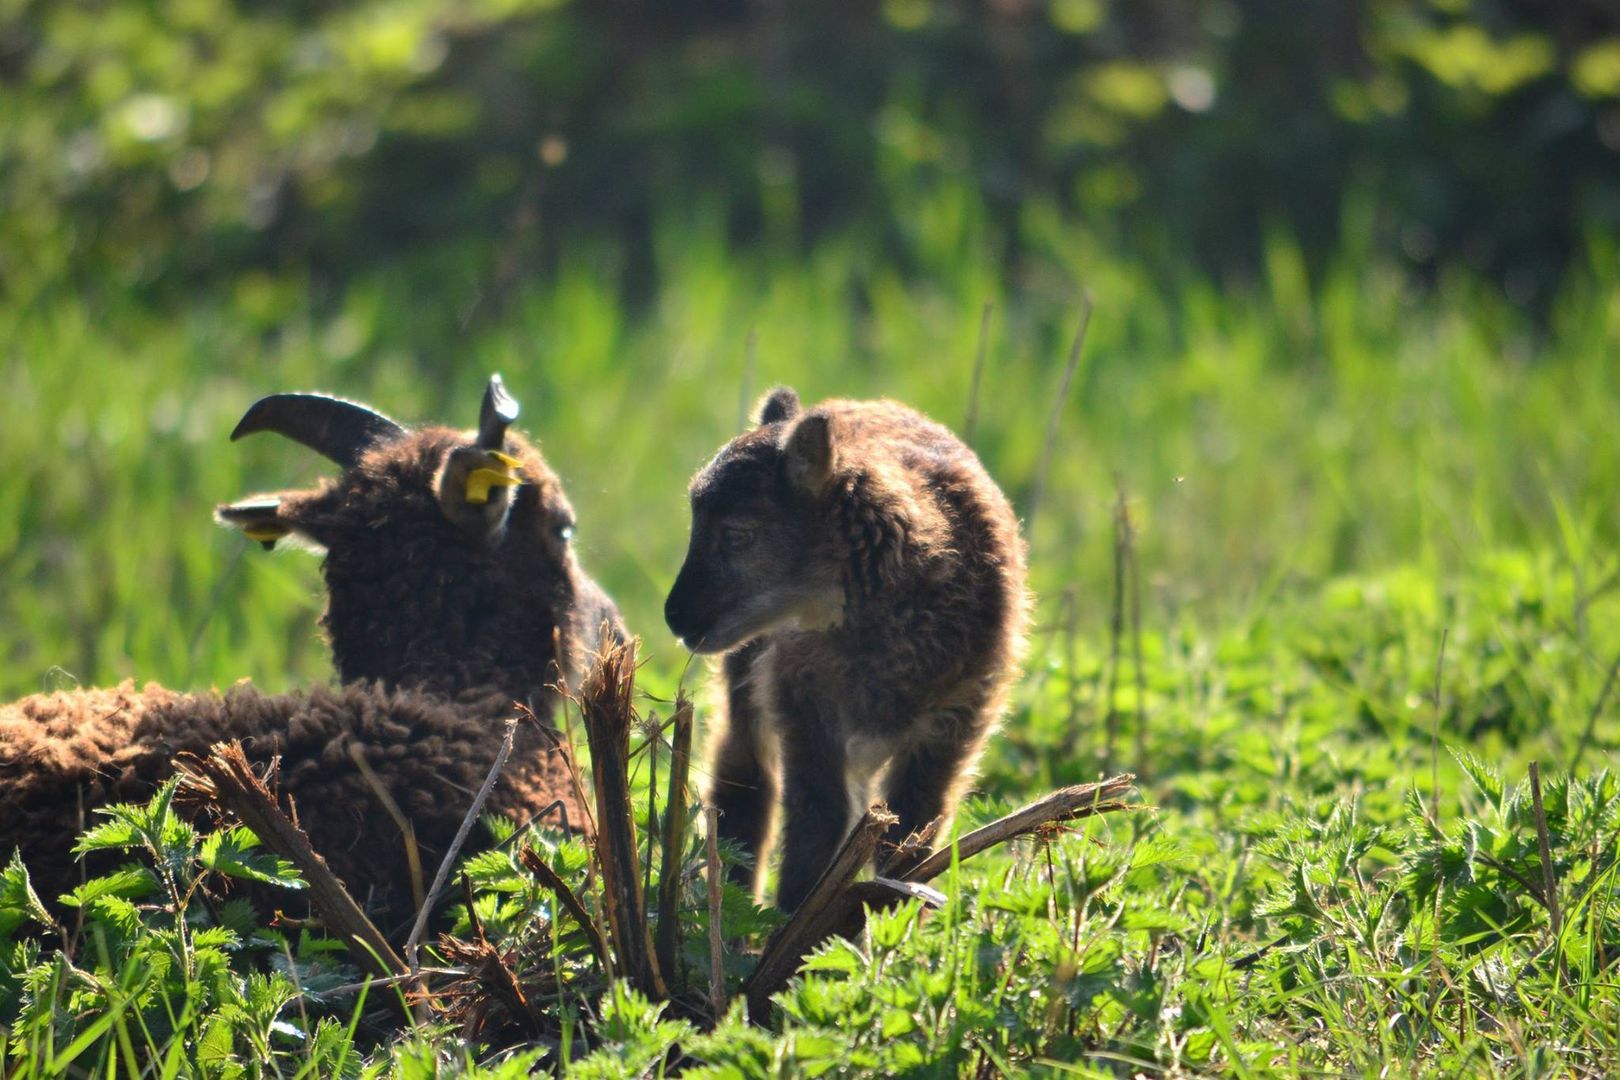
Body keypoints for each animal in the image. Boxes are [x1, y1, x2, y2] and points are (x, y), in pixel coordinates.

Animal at [657, 388, 1023, 913]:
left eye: (737, 534)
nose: (676, 616)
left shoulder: (956, 717)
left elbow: (912, 832)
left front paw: (893, 920)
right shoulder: (803, 704)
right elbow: (819, 819)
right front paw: (796, 920)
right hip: (747, 676)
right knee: (743, 780)